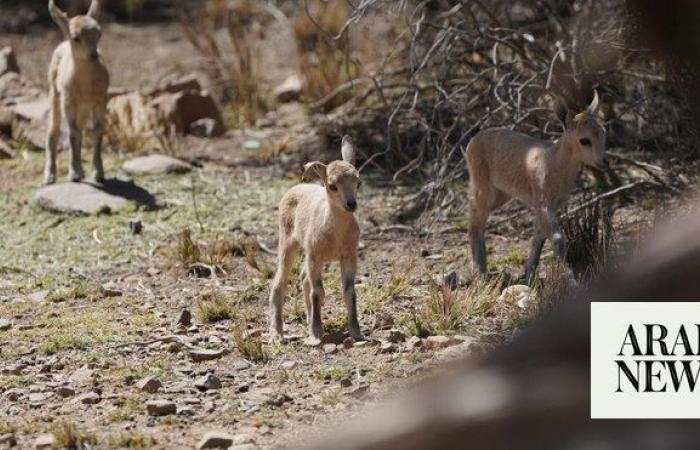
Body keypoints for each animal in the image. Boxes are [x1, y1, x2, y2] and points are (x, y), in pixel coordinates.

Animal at [44, 0, 109, 185]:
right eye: (76, 37)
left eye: (99, 33)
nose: (93, 55)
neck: (86, 88)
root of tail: (62, 43)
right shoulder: (69, 100)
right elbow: (72, 134)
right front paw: (73, 174)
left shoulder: (100, 100)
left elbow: (97, 131)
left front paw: (99, 174)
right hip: (54, 93)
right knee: (54, 130)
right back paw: (50, 176)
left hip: (83, 108)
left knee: (80, 130)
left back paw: (80, 170)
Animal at [270, 135, 364, 346]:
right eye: (332, 185)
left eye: (358, 182)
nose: (351, 204)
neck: (336, 237)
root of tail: (295, 188)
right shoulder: (316, 255)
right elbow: (317, 291)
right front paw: (316, 333)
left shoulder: (349, 256)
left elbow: (349, 291)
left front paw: (357, 332)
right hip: (288, 244)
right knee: (280, 283)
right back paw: (278, 333)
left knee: (303, 278)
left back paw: (307, 319)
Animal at [464, 92, 608, 280]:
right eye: (584, 140)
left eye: (603, 132)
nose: (604, 161)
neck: (552, 163)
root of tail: (471, 143)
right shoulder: (542, 203)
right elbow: (557, 238)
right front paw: (571, 277)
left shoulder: (551, 205)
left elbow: (539, 237)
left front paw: (528, 273)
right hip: (483, 185)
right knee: (476, 220)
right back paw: (481, 271)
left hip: (501, 193)